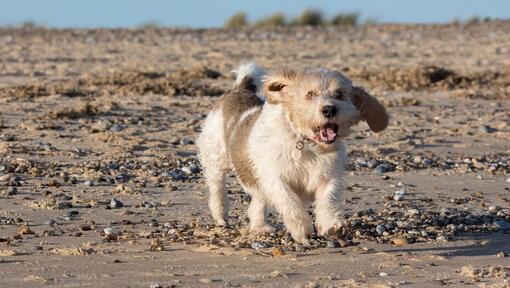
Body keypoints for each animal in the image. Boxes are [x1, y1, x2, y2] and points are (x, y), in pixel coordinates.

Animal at [197, 63, 388, 245]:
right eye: (310, 94)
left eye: (339, 94)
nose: (329, 109)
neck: (307, 144)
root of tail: (239, 89)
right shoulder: (277, 181)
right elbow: (290, 204)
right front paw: (302, 230)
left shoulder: (328, 178)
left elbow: (329, 200)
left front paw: (332, 226)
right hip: (216, 161)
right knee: (217, 188)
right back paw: (221, 215)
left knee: (257, 201)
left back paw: (260, 227)